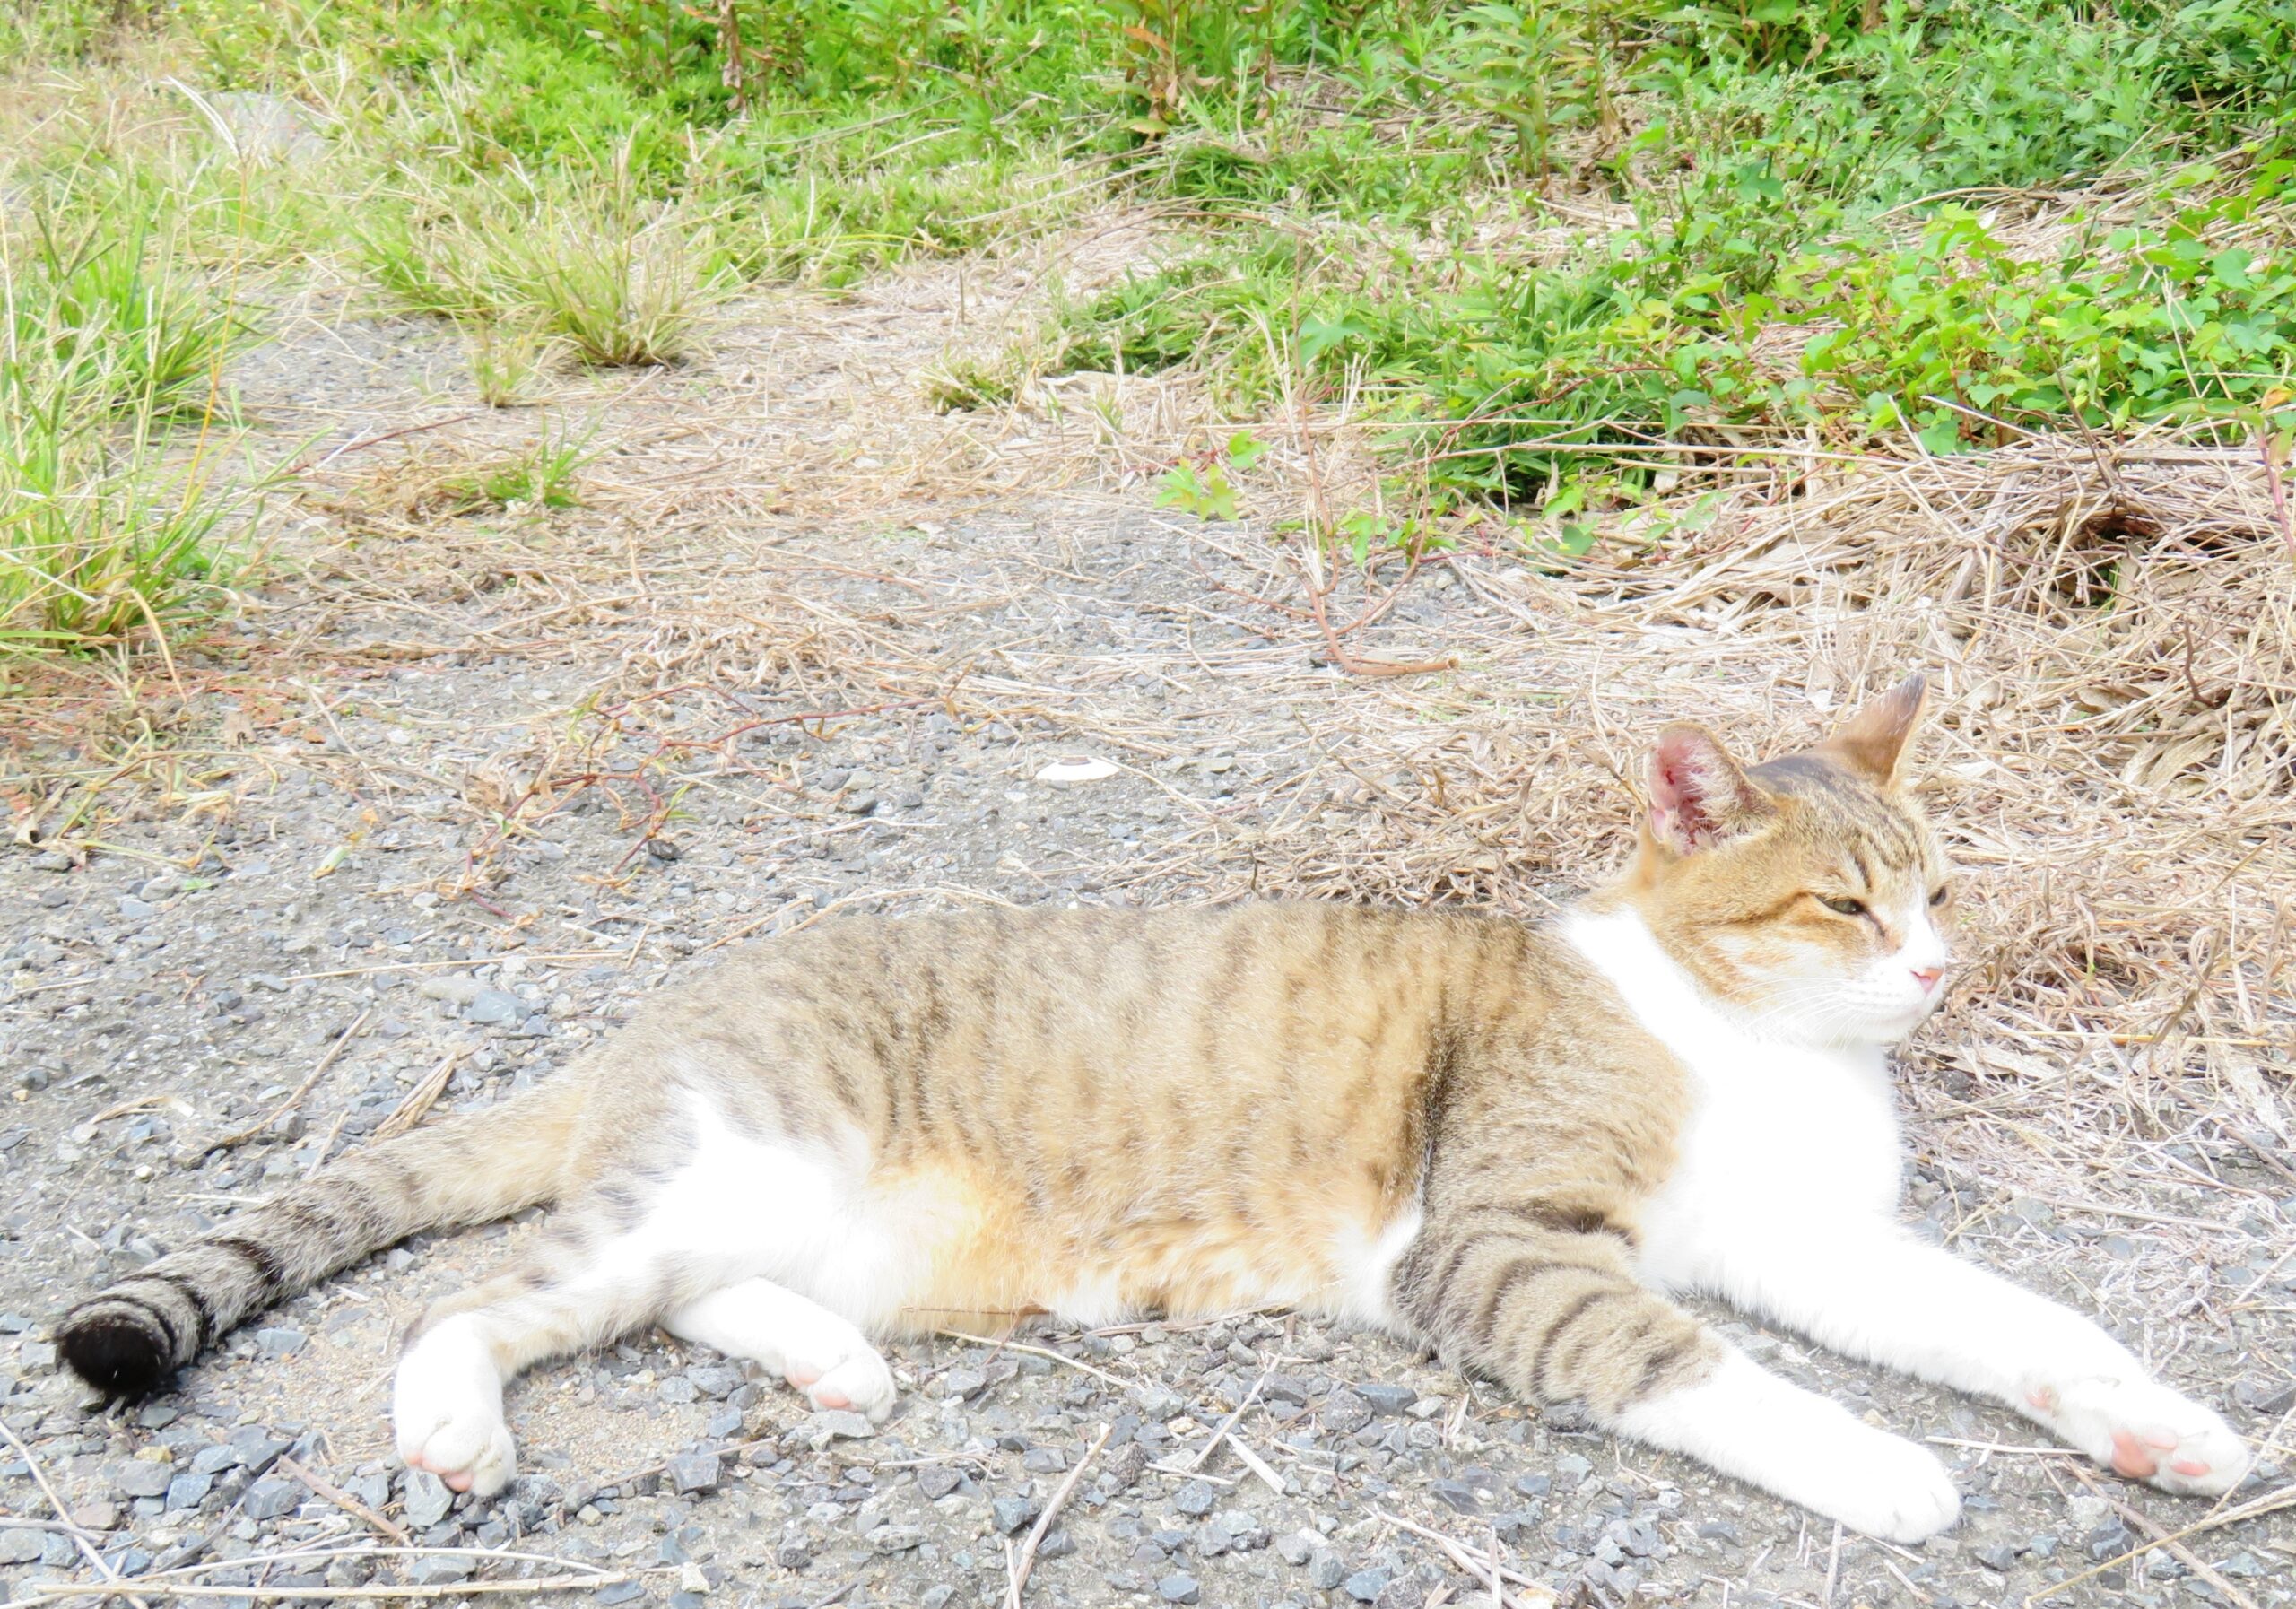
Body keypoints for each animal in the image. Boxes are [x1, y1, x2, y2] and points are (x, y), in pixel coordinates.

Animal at [49, 670, 2240, 1533]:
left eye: (1941, 886)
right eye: (1842, 903)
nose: (1938, 973)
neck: (1759, 1050)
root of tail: (657, 1008)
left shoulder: (1820, 1243)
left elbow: (2024, 1321)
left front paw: (2158, 1426)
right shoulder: (1498, 1242)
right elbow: (1701, 1366)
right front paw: (1886, 1470)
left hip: (770, 1222)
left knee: (678, 1303)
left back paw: (831, 1366)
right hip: (715, 1168)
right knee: (480, 1299)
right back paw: (453, 1424)